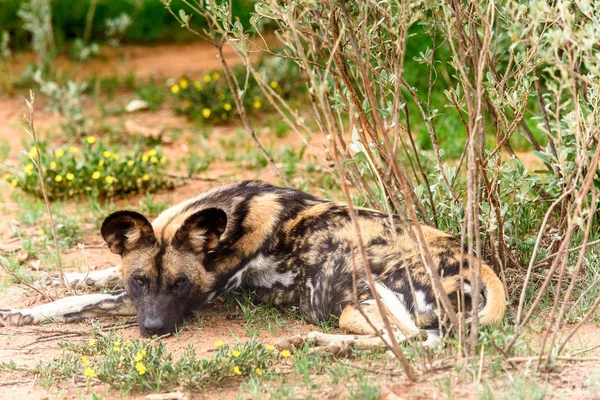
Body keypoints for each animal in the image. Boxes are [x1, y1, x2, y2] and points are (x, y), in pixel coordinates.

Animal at [0, 181, 506, 346]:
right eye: (140, 281)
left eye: (181, 286)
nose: (156, 330)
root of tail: (476, 262)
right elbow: (93, 277)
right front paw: (44, 286)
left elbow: (84, 302)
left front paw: (26, 312)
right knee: (426, 340)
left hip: (361, 303)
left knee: (416, 342)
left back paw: (316, 342)